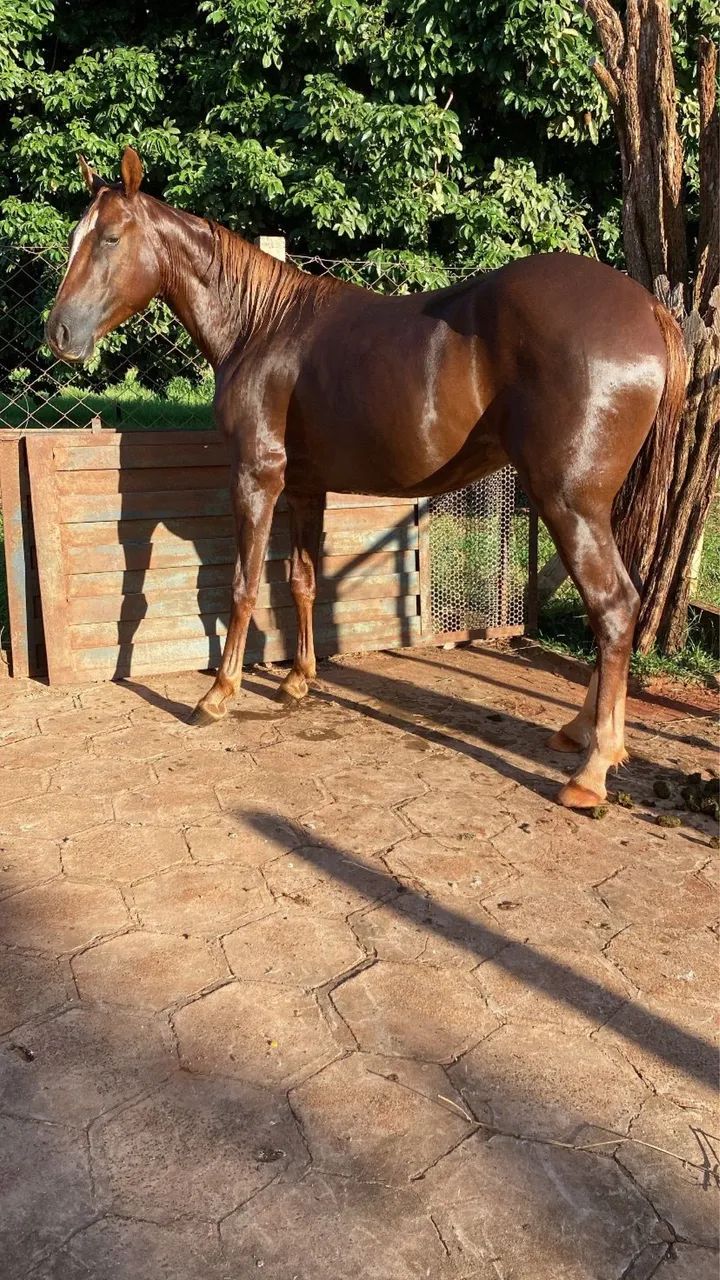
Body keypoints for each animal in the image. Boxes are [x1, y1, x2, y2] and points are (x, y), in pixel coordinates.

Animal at [45, 146, 686, 809]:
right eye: (75, 237)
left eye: (110, 238)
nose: (57, 333)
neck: (260, 326)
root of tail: (648, 308)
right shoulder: (304, 487)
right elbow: (301, 581)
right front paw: (298, 681)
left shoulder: (255, 477)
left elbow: (243, 585)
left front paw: (217, 695)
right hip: (595, 507)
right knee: (619, 603)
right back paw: (583, 733)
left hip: (569, 503)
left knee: (611, 606)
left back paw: (592, 769)